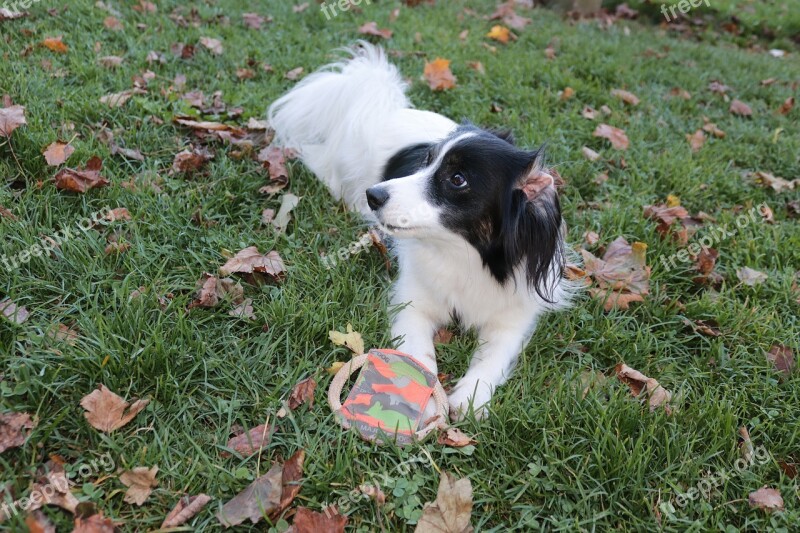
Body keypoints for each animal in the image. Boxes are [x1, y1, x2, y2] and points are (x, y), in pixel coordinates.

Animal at [268, 42, 576, 420]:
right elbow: (419, 355)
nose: (374, 195)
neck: (465, 254)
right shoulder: (412, 304)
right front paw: (426, 400)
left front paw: (471, 398)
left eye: (457, 179)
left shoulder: (513, 319)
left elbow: (493, 358)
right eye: (425, 162)